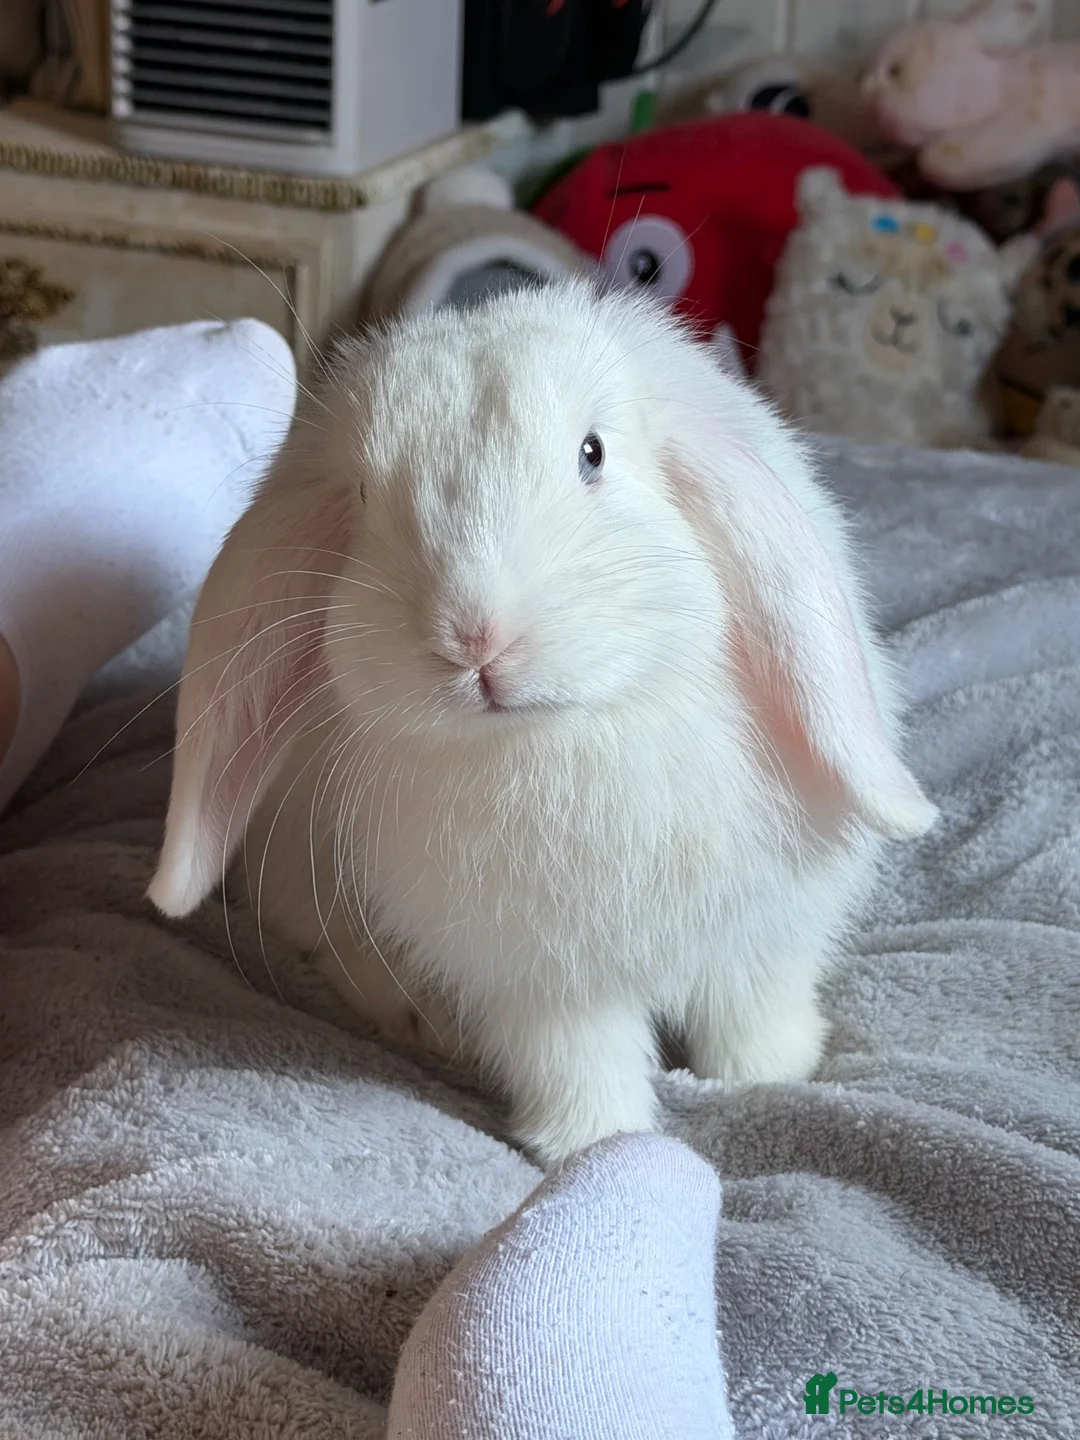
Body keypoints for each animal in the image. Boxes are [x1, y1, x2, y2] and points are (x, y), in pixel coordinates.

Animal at [147, 278, 937, 1167]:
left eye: (593, 453)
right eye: (361, 496)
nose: (474, 638)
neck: (570, 735)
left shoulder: (762, 941)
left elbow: (751, 1016)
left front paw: (772, 1076)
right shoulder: (543, 988)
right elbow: (578, 1064)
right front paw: (593, 1145)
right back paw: (421, 1022)